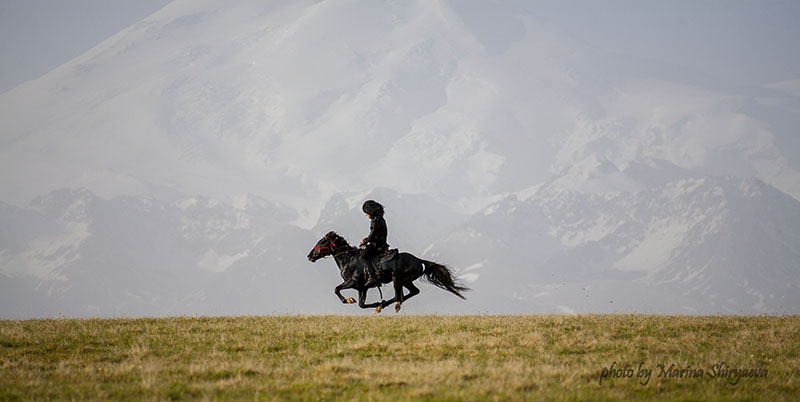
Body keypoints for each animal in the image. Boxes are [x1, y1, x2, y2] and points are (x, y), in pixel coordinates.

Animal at [306, 231, 468, 312]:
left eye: (321, 241)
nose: (310, 256)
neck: (348, 260)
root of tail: (418, 260)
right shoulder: (361, 288)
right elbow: (361, 304)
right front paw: (376, 303)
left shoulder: (353, 282)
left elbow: (336, 289)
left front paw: (349, 300)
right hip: (406, 281)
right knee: (412, 292)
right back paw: (391, 305)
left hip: (398, 279)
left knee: (399, 295)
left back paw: (388, 305)